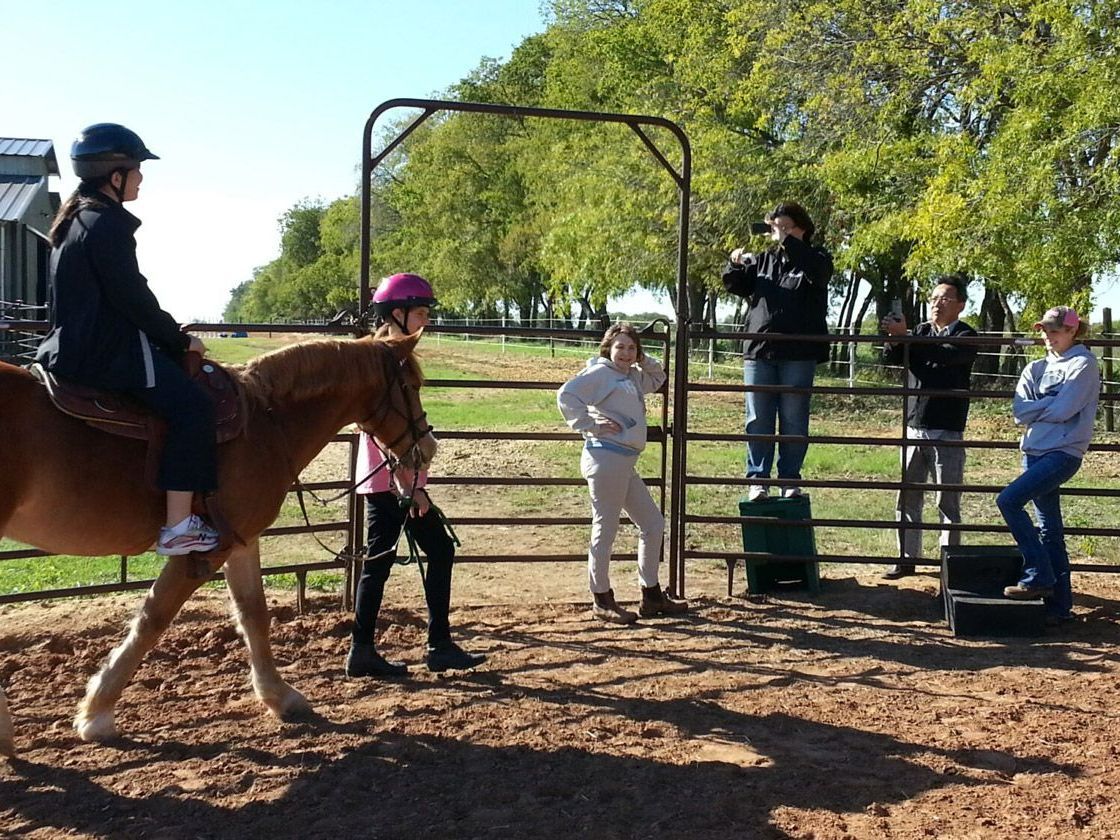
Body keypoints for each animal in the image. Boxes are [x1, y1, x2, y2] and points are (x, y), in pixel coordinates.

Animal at [0, 332, 436, 756]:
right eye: (412, 385)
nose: (428, 448)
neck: (265, 422)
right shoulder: (204, 552)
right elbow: (153, 617)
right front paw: (97, 714)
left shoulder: (241, 541)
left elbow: (253, 613)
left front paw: (280, 696)